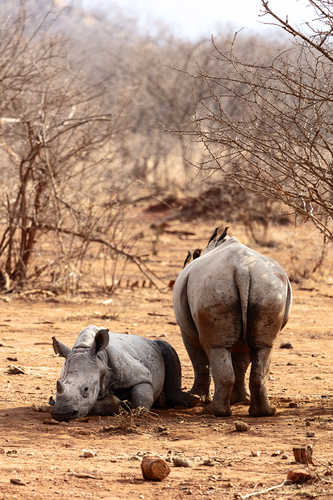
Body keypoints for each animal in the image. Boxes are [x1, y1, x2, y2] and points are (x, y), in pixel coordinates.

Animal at [50, 326, 195, 420]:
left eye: (86, 389)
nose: (63, 415)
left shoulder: (142, 376)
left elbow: (140, 401)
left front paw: (125, 407)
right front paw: (115, 404)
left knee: (167, 347)